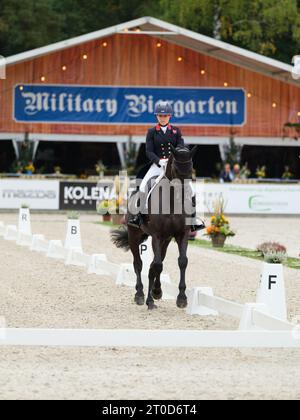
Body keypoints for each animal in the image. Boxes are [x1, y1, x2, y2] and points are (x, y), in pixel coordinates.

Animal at [111, 146, 198, 310]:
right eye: (176, 169)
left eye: (191, 169)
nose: (183, 196)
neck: (171, 202)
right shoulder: (156, 236)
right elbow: (156, 265)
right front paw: (151, 298)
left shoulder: (181, 234)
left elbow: (181, 261)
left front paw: (181, 298)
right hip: (134, 235)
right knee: (138, 264)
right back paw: (140, 294)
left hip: (166, 239)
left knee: (157, 262)